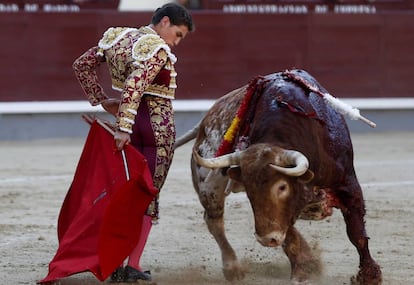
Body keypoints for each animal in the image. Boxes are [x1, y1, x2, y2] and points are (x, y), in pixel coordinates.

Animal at [175, 69, 382, 284]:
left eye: (282, 186)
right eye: (249, 190)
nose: (265, 239)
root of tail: (206, 120)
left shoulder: (348, 185)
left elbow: (356, 234)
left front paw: (369, 276)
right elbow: (289, 239)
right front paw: (300, 274)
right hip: (209, 186)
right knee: (214, 221)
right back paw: (233, 268)